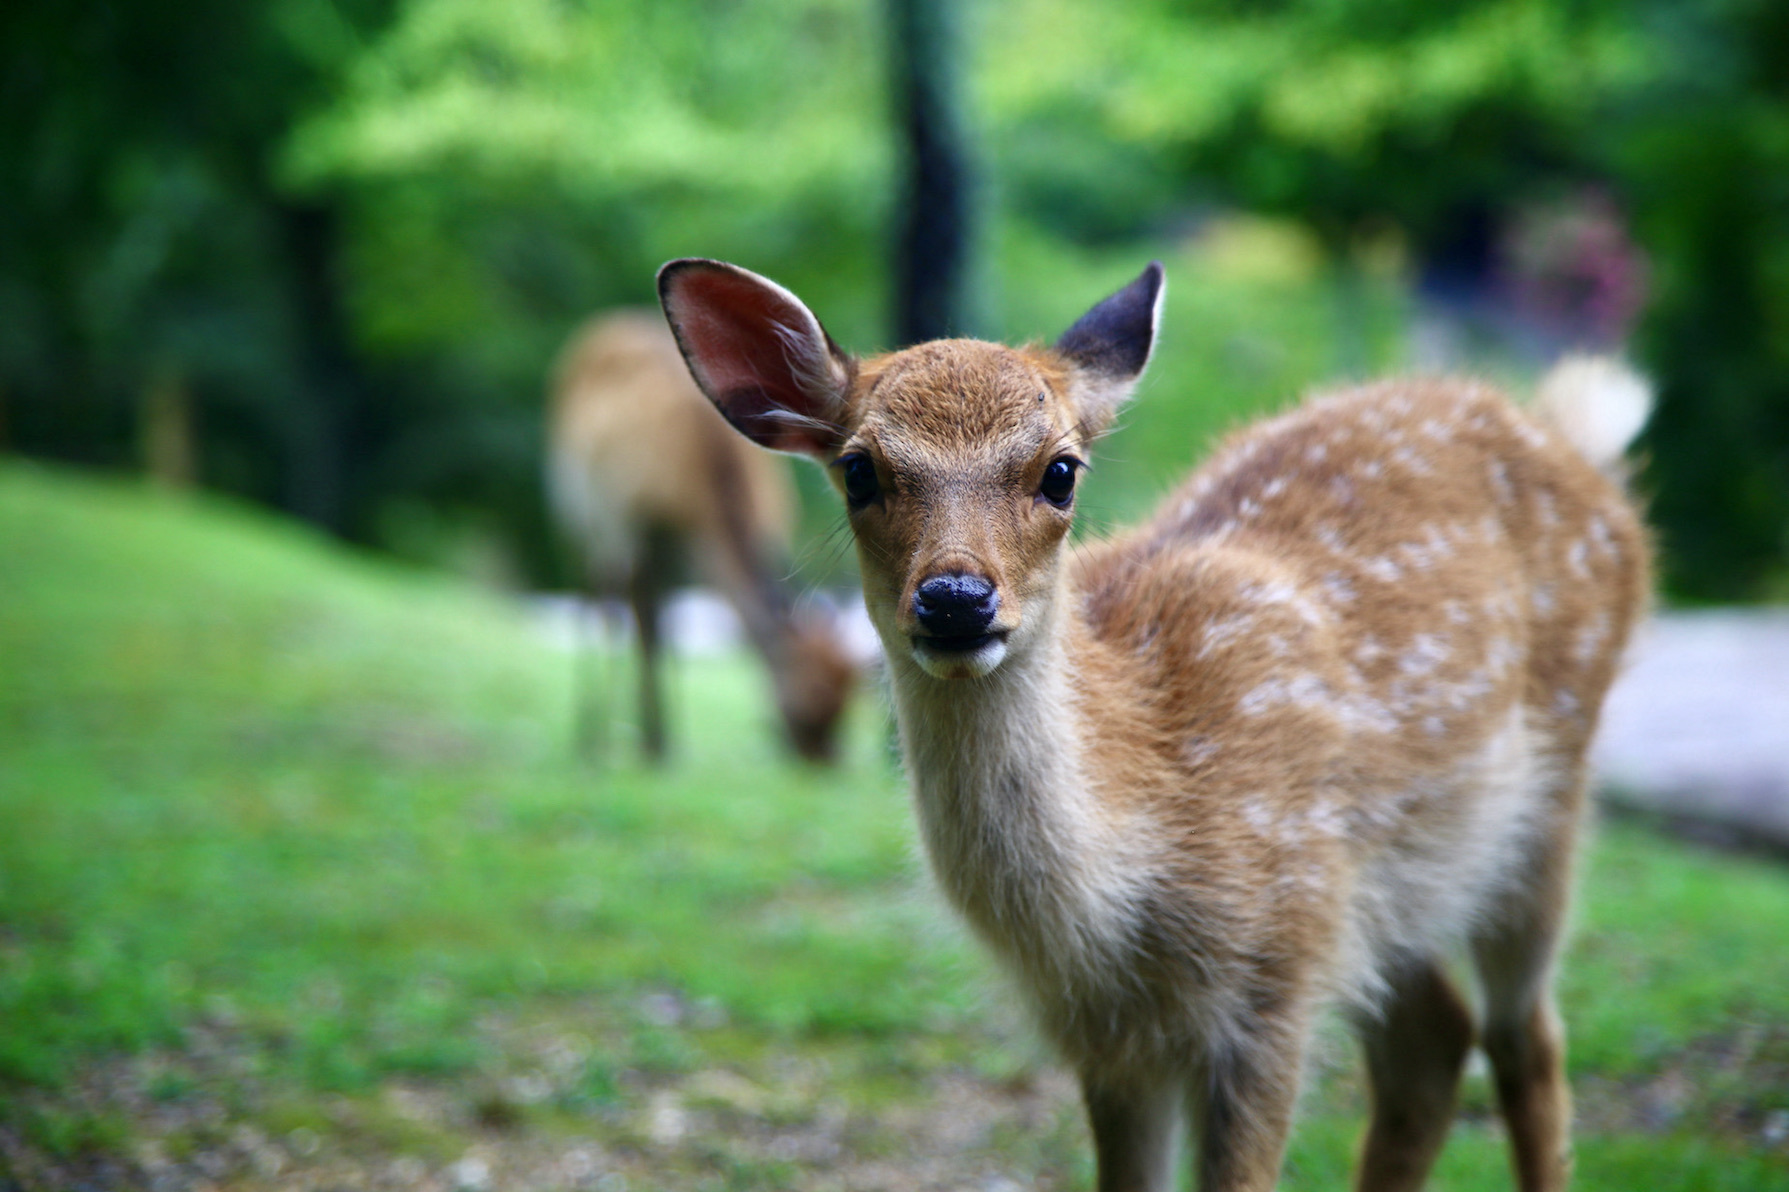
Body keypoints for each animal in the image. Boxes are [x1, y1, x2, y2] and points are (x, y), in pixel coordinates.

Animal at [540, 307, 855, 762]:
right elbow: (639, 622)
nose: (825, 759)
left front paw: (665, 741)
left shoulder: (684, 542)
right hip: (577, 507)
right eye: (811, 693)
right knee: (596, 596)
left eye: (852, 694)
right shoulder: (635, 522)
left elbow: (665, 625)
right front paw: (648, 742)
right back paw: (590, 736)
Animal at [658, 255, 1645, 1181]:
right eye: (859, 470)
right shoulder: (1111, 1039)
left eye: (1060, 471)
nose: (954, 599)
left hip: (1540, 806)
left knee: (1524, 1039)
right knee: (1433, 1041)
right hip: (1395, 894)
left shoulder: (1273, 982)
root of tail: (1564, 438)